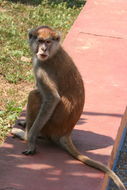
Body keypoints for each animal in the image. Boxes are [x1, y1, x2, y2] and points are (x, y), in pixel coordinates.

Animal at [11, 25, 125, 190]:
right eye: (39, 41)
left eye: (48, 41)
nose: (43, 49)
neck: (54, 51)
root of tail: (66, 131)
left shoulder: (41, 67)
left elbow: (52, 98)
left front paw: (30, 140)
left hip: (52, 124)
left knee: (34, 95)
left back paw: (26, 135)